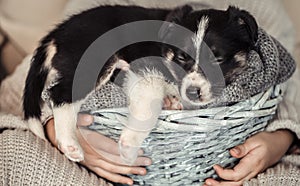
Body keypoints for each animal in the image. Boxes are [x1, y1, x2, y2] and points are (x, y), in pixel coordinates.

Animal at [23, 4, 258, 163]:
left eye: (218, 59)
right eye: (181, 57)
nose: (192, 92)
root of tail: (56, 34)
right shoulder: (145, 70)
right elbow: (149, 105)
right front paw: (130, 142)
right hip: (93, 61)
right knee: (60, 95)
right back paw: (70, 144)